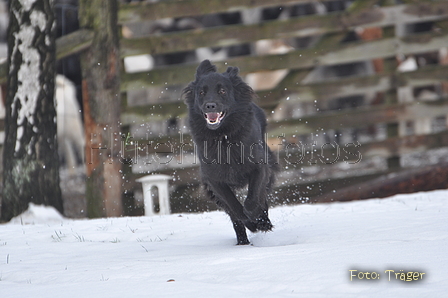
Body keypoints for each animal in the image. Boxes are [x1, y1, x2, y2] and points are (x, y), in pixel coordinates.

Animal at [184, 60, 278, 244]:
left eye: (222, 91)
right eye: (201, 92)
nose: (210, 105)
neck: (223, 137)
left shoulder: (259, 167)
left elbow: (253, 199)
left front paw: (258, 219)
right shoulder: (214, 180)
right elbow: (234, 207)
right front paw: (250, 222)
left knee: (261, 198)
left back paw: (263, 222)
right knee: (234, 215)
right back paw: (244, 241)